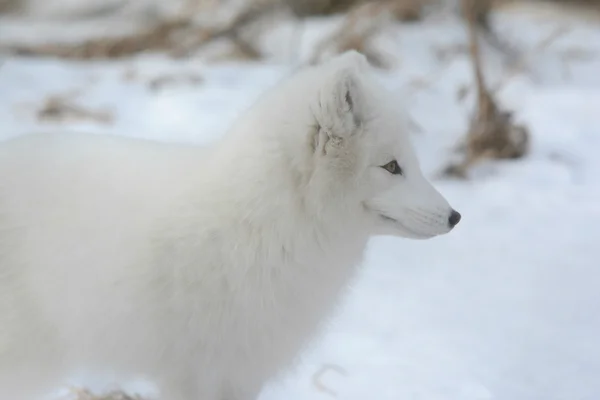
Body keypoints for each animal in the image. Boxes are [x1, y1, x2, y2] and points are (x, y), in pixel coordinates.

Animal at [0, 50, 462, 400]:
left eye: (409, 162)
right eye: (391, 167)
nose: (455, 217)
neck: (266, 226)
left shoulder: (240, 375)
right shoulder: (195, 375)